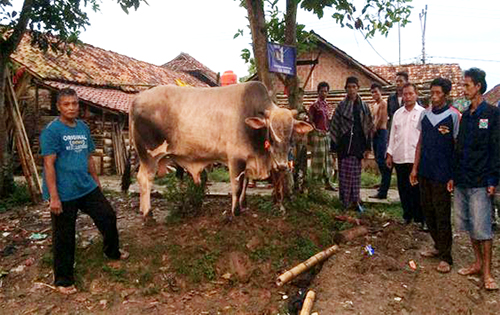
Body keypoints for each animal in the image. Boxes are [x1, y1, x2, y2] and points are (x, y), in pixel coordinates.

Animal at [122, 81, 312, 220]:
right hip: (149, 155)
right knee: (144, 178)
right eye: (271, 134)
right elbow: (237, 186)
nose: (282, 166)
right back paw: (148, 214)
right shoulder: (236, 159)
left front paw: (243, 205)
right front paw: (235, 212)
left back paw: (142, 210)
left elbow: (244, 184)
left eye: (291, 134)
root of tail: (136, 100)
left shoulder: (247, 160)